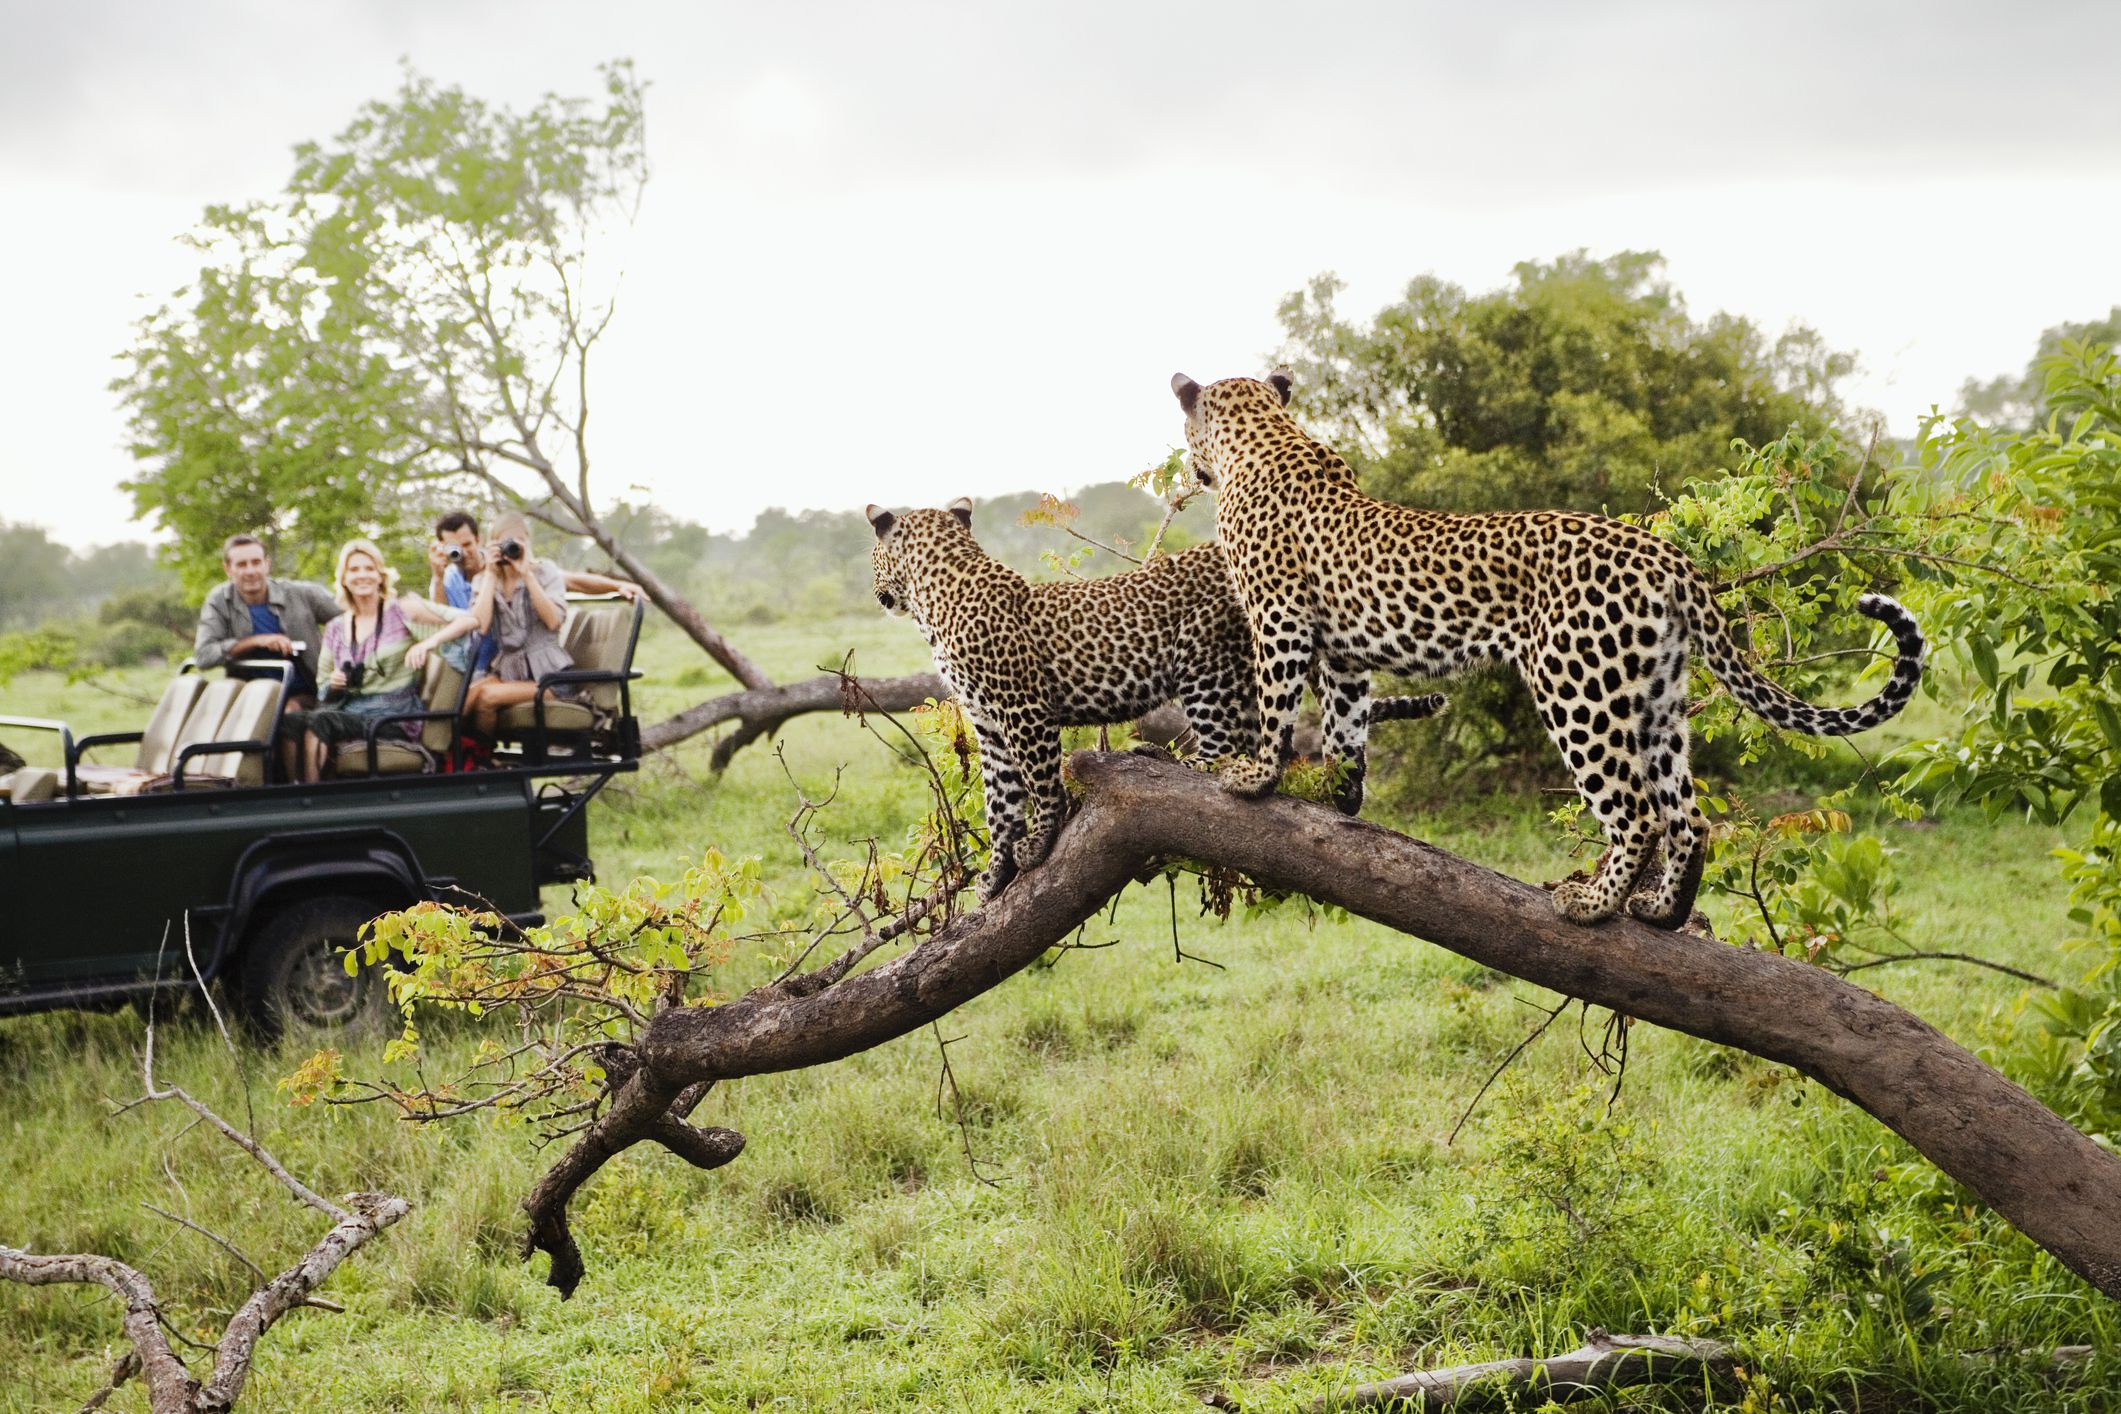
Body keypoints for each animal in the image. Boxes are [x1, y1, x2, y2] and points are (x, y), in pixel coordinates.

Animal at [1170, 370, 1934, 932]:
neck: (1265, 436)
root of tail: (1666, 556)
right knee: (1688, 817)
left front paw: (1254, 776)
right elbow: (1345, 725)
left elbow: (1277, 704)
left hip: (1578, 687)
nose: (1192, 469)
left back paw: (1592, 906)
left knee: (1637, 813)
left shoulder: (1278, 617)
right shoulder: (1345, 653)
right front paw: (1339, 794)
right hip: (1656, 698)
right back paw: (1661, 912)